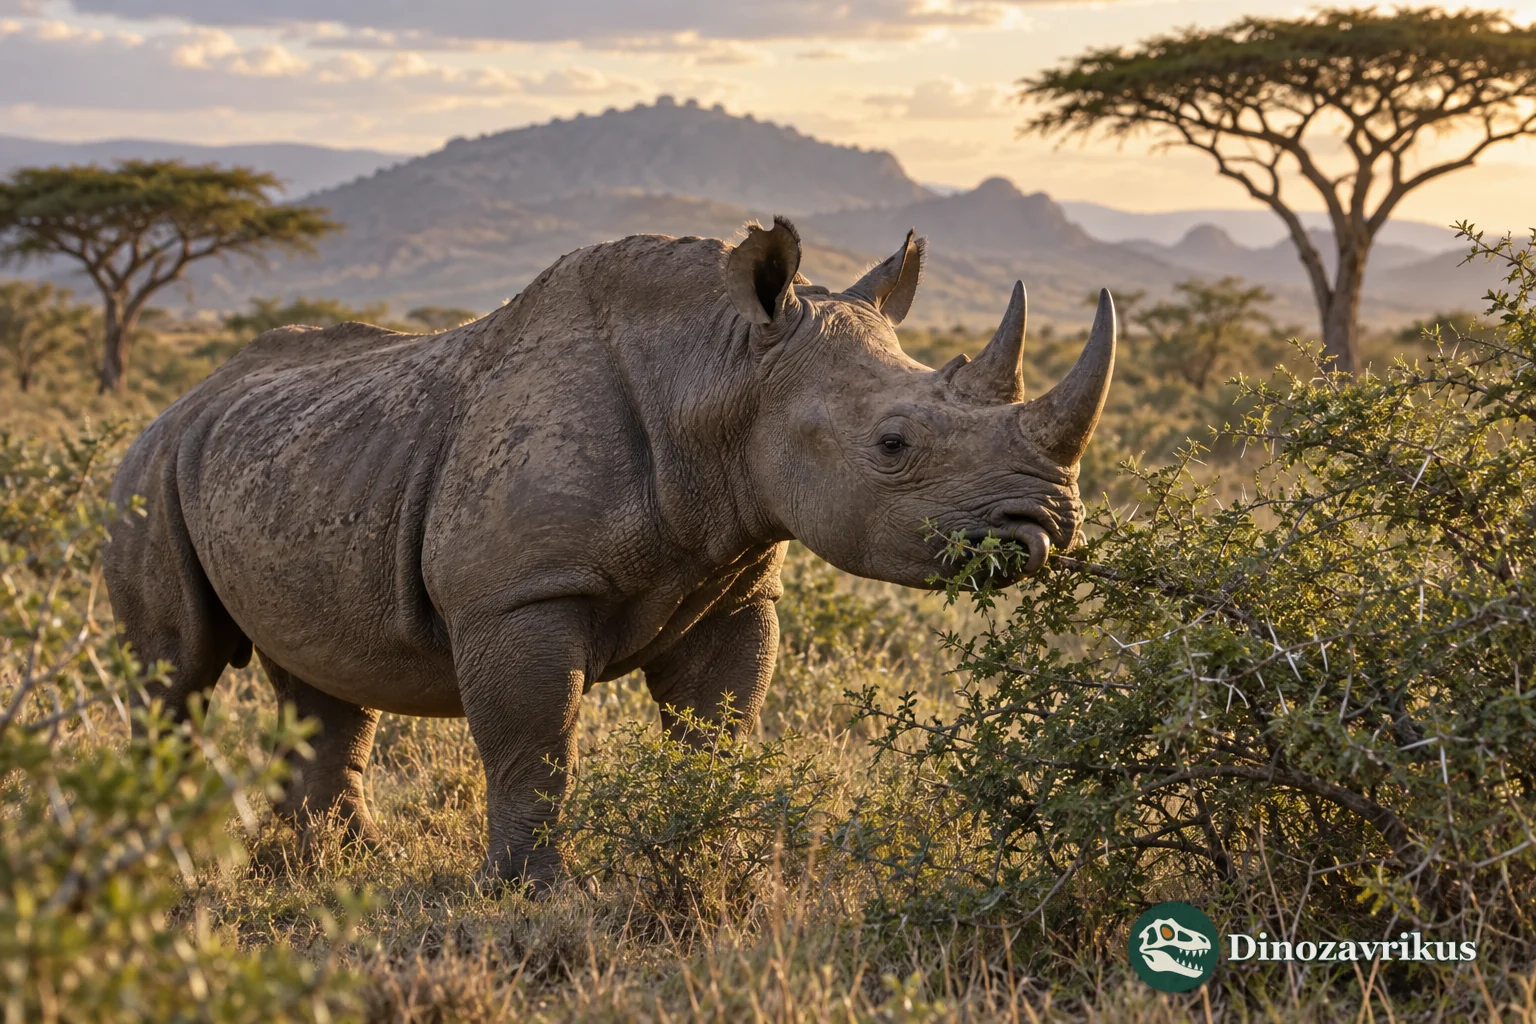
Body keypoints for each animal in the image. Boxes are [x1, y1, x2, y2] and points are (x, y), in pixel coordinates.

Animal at [103, 218, 1115, 887]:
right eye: (894, 444)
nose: (1050, 522)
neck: (719, 376)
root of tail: (178, 401)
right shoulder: (518, 594)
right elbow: (534, 742)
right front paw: (527, 895)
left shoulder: (735, 584)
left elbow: (720, 729)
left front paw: (725, 862)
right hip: (147, 473)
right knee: (176, 673)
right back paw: (166, 869)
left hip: (292, 463)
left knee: (321, 680)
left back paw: (339, 867)